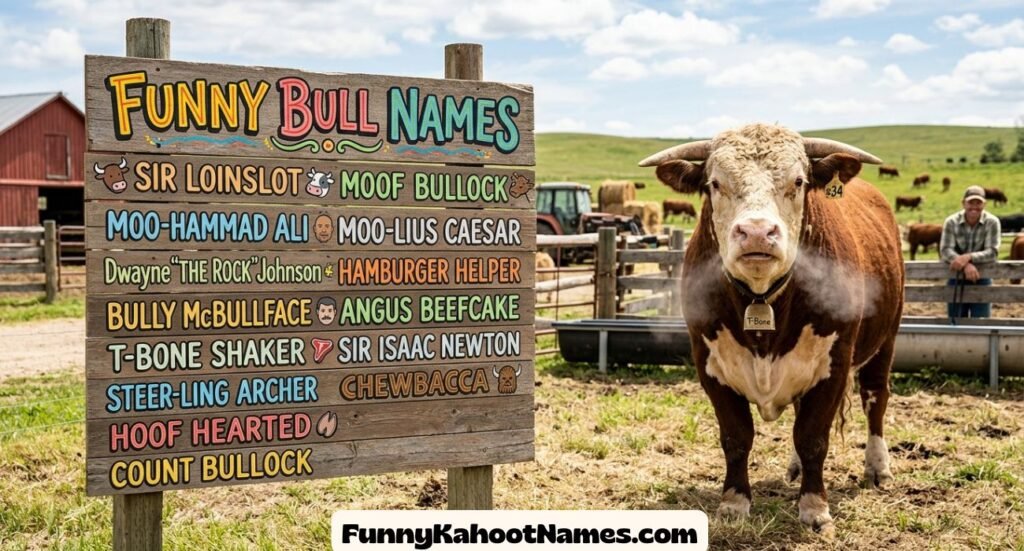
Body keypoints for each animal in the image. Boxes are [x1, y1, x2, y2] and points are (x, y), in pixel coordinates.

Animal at [640, 124, 902, 534]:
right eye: (715, 183)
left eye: (798, 181)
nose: (757, 233)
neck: (762, 299)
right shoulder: (709, 365)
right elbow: (737, 437)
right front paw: (734, 503)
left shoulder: (834, 365)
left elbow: (813, 437)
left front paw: (814, 507)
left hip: (886, 339)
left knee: (875, 399)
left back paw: (877, 468)